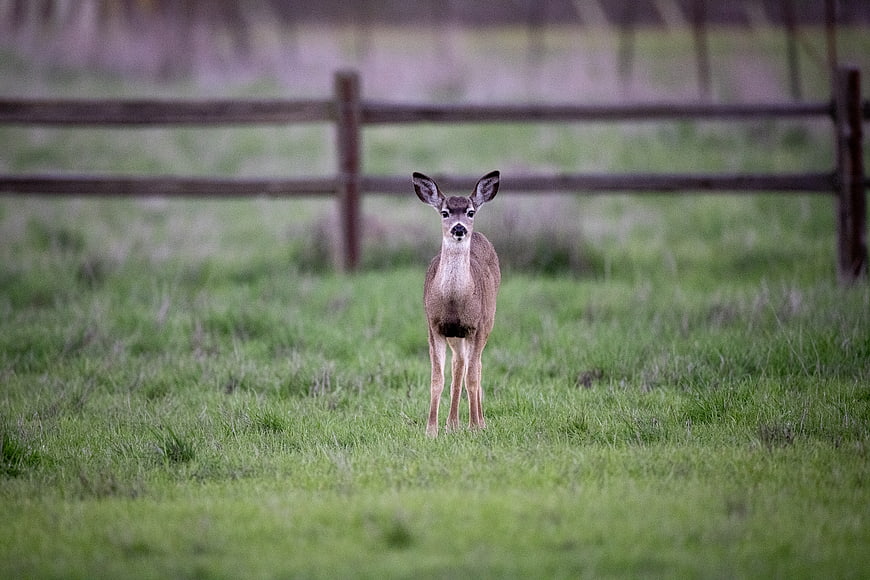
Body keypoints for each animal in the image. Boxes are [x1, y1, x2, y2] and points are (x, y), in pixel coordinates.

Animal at [412, 170, 501, 437]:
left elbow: (473, 376)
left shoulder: (476, 327)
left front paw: (474, 426)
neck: (454, 301)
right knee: (458, 365)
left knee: (476, 366)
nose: (459, 228)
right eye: (445, 212)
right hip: (455, 336)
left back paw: (477, 421)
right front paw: (431, 430)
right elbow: (437, 379)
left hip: (488, 321)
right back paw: (452, 423)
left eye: (470, 212)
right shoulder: (434, 327)